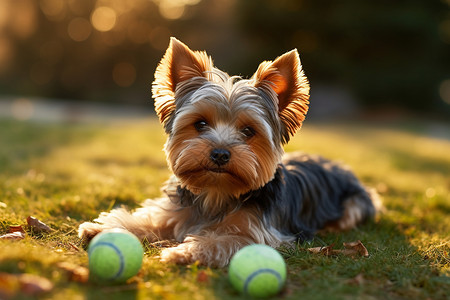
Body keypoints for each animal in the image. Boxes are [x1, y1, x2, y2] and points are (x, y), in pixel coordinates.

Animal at [78, 37, 380, 268]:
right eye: (200, 124)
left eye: (248, 131)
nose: (220, 154)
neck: (217, 193)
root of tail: (337, 165)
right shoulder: (177, 211)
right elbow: (150, 218)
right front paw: (102, 228)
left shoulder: (263, 235)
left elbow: (226, 241)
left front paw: (182, 251)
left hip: (355, 203)